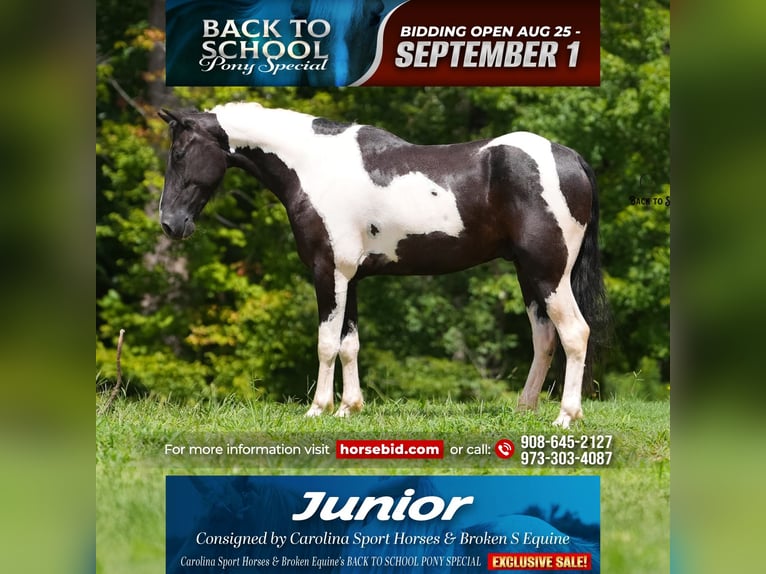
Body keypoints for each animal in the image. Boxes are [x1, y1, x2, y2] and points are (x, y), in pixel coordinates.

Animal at [158, 101, 608, 428]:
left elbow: (326, 342)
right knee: (545, 338)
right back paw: (525, 408)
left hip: (549, 274)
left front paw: (318, 408)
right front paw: (349, 407)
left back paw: (566, 417)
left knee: (574, 334)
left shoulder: (328, 272)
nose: (169, 223)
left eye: (179, 153)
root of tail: (571, 158)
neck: (313, 166)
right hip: (529, 275)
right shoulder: (351, 277)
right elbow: (349, 343)